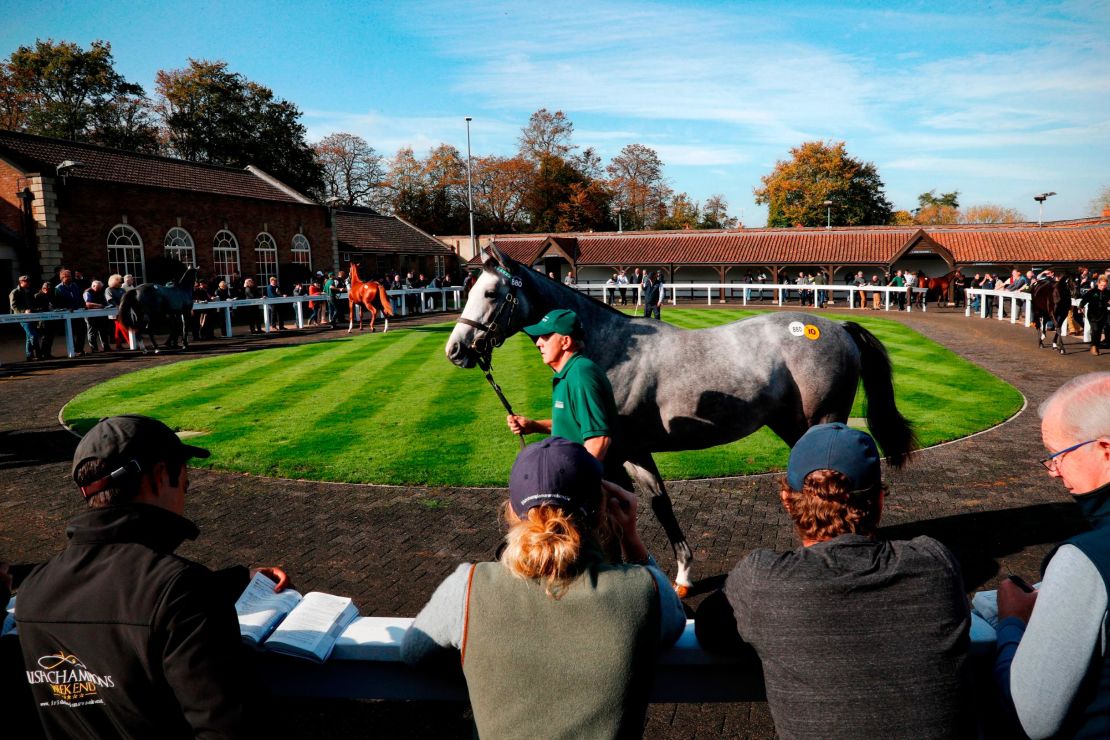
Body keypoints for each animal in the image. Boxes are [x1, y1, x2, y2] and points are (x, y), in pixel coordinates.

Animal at [446, 246, 914, 594]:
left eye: (491, 293)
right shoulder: (635, 452)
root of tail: (837, 327)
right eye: (468, 289)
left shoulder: (612, 451)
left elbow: (612, 510)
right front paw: (683, 573)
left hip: (823, 420)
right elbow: (658, 504)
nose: (456, 349)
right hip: (791, 424)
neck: (611, 349)